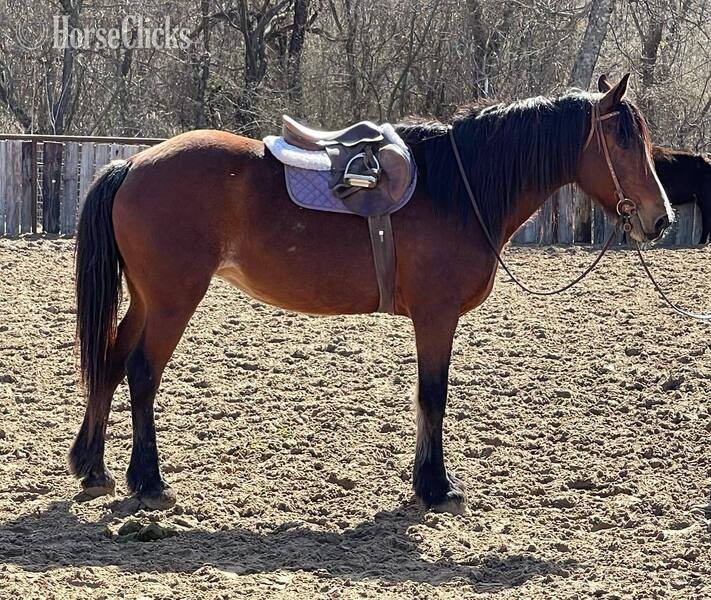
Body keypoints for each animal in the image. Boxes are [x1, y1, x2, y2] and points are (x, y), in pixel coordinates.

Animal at [69, 74, 672, 513]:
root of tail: (134, 164)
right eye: (623, 139)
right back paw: (148, 482)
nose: (660, 218)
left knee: (111, 360)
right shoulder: (436, 315)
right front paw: (436, 486)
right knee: (142, 372)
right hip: (174, 298)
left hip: (147, 298)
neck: (458, 187)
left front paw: (426, 483)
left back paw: (93, 468)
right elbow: (433, 395)